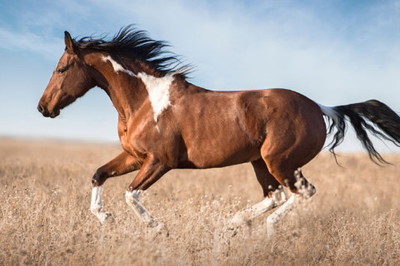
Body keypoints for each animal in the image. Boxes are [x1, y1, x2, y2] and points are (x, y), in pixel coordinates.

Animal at [37, 26, 400, 236]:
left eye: (62, 68)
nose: (43, 108)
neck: (144, 100)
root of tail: (321, 107)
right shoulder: (134, 156)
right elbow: (98, 175)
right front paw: (105, 218)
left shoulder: (160, 161)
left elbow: (131, 193)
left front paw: (157, 227)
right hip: (260, 162)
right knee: (275, 195)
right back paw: (233, 223)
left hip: (280, 161)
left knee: (301, 193)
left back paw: (265, 229)